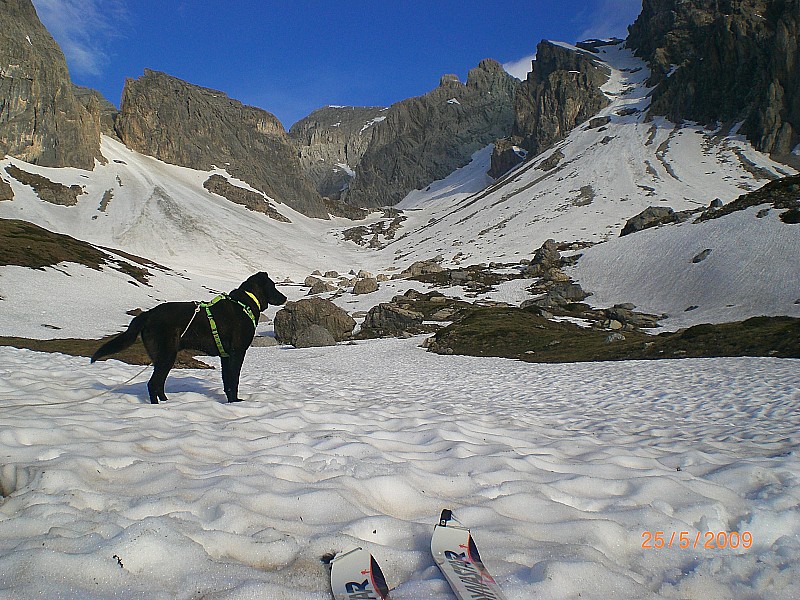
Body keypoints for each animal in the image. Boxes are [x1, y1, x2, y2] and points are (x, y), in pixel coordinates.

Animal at [92, 274, 286, 406]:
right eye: (273, 286)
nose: (285, 298)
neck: (245, 303)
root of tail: (148, 314)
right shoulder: (237, 352)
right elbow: (233, 380)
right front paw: (236, 402)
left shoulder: (225, 356)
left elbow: (227, 381)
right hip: (167, 355)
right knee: (153, 384)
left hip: (163, 357)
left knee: (158, 384)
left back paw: (168, 402)